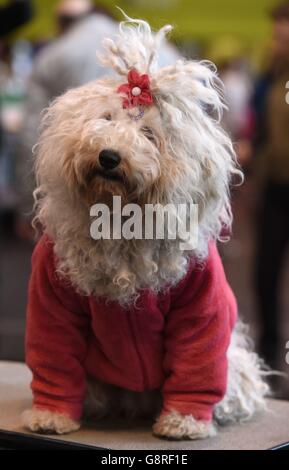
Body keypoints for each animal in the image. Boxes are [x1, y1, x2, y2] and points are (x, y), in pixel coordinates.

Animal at [22, 15, 268, 440]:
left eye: (149, 134)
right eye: (105, 119)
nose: (108, 156)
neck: (121, 222)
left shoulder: (200, 300)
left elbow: (198, 360)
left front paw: (184, 421)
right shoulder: (51, 294)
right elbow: (53, 353)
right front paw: (51, 415)